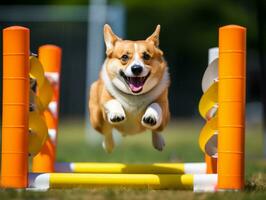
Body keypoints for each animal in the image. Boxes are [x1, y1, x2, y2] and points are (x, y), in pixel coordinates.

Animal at [88, 24, 169, 153]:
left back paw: (158, 142)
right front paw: (117, 114)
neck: (134, 96)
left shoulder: (164, 105)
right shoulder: (105, 100)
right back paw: (109, 145)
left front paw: (150, 116)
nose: (136, 68)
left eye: (146, 56)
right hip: (96, 120)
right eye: (124, 57)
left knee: (157, 129)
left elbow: (156, 105)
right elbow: (112, 101)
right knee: (106, 131)